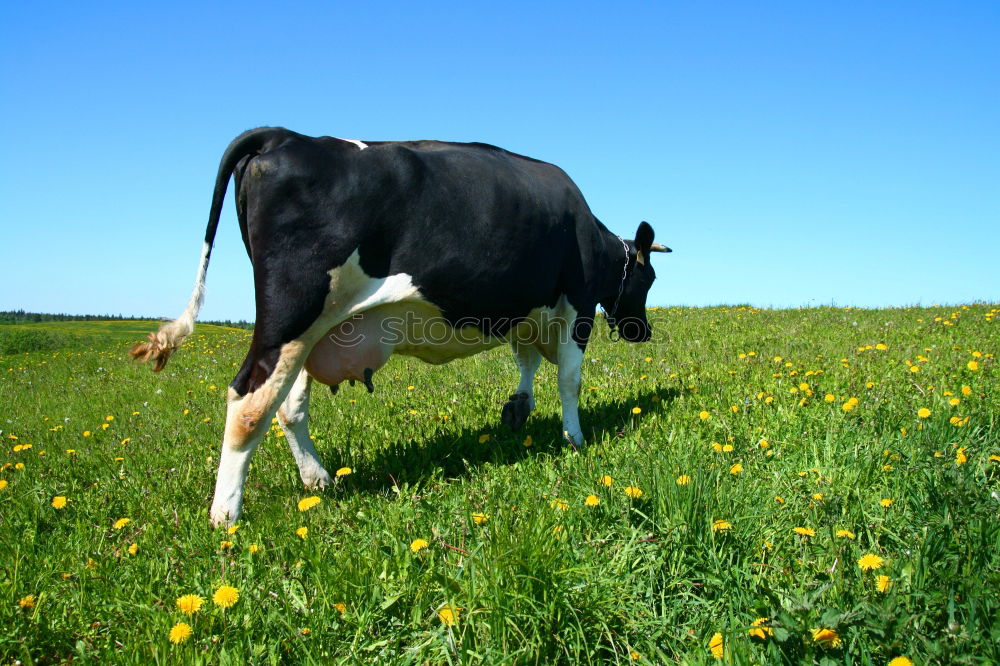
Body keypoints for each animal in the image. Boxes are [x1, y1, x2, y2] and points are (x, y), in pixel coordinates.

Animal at [129, 127, 668, 524]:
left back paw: (317, 479)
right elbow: (569, 379)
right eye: (649, 277)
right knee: (248, 402)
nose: (641, 331)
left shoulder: (525, 310)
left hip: (307, 333)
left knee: (287, 407)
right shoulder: (576, 304)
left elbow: (528, 362)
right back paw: (226, 515)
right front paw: (575, 439)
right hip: (291, 314)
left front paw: (518, 408)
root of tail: (285, 135)